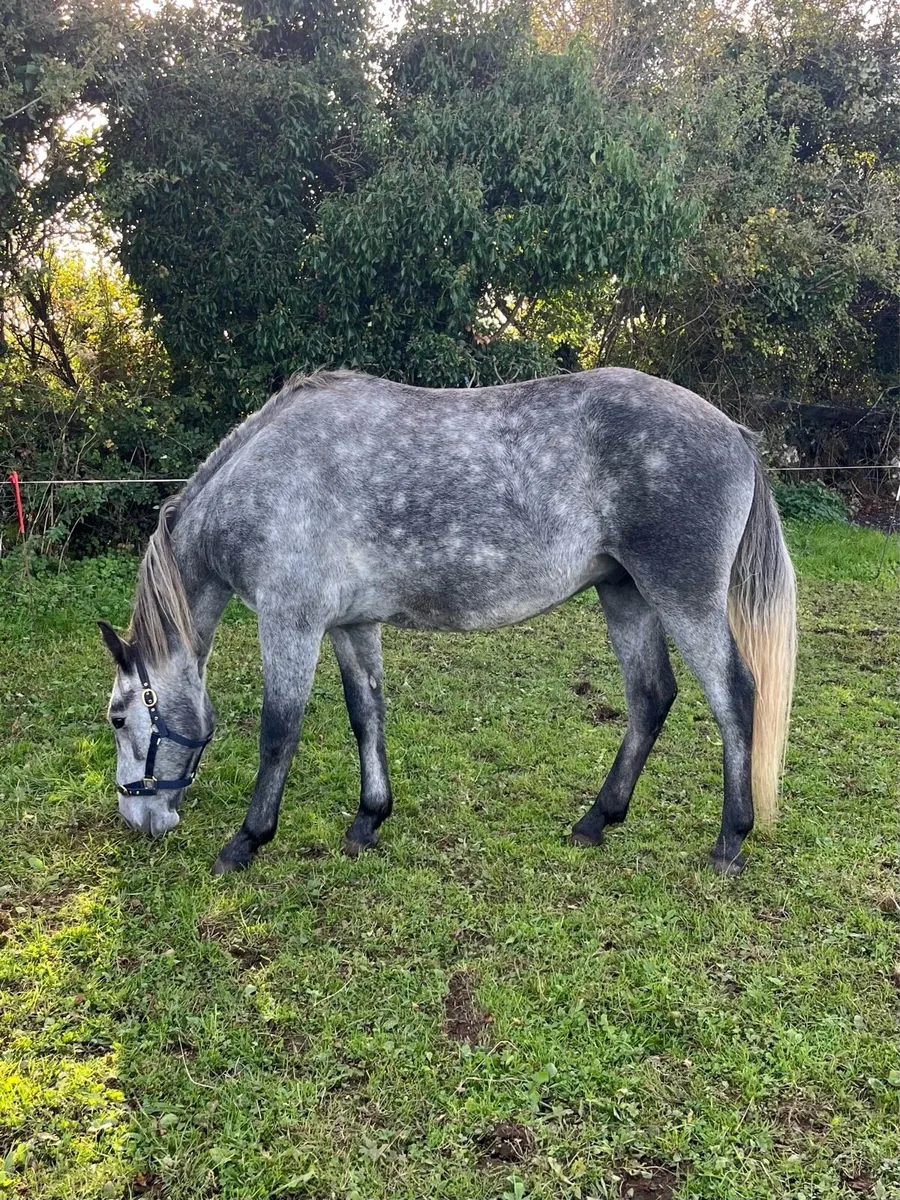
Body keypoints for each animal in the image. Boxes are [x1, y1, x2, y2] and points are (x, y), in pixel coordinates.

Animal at [99, 367, 797, 877]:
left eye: (118, 717)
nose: (139, 822)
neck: (263, 478)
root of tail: (734, 432)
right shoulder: (351, 625)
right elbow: (366, 716)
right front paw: (368, 820)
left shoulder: (290, 621)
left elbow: (278, 732)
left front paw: (246, 840)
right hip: (625, 595)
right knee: (651, 698)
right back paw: (595, 822)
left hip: (683, 598)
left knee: (736, 697)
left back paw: (730, 841)